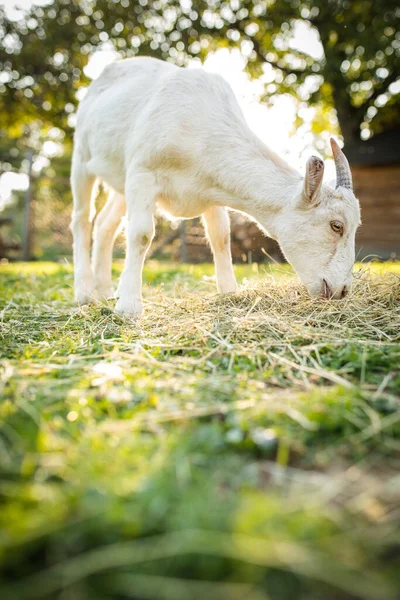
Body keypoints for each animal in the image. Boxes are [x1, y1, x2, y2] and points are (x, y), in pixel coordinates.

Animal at [70, 56, 360, 316]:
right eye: (336, 225)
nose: (343, 290)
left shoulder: (211, 189)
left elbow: (221, 235)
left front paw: (229, 291)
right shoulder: (143, 174)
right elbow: (141, 234)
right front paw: (129, 306)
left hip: (121, 180)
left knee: (105, 224)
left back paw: (106, 291)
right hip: (82, 156)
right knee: (82, 219)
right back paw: (85, 292)